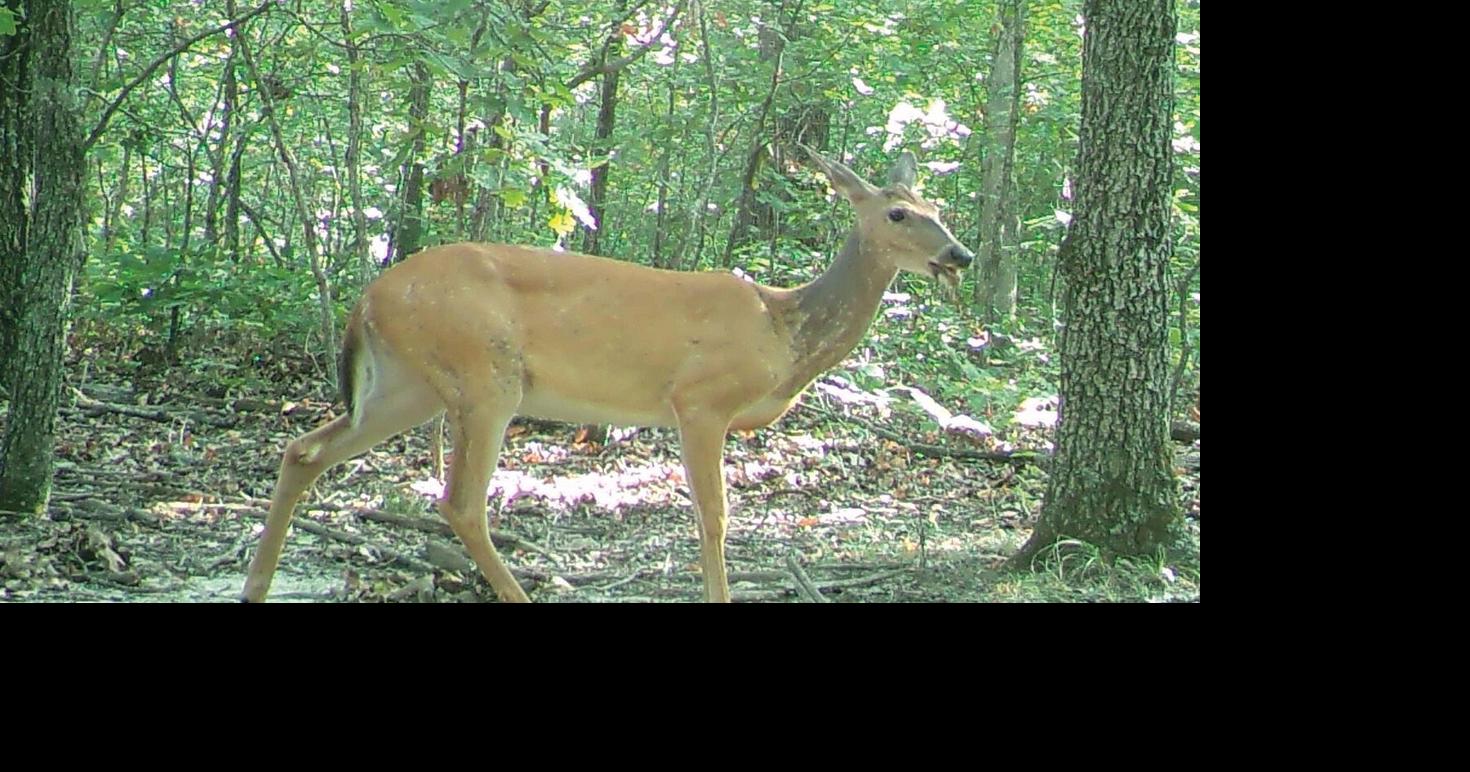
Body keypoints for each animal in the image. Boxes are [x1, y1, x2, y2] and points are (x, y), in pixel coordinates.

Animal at [241, 145, 973, 603]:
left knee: (303, 449)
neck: (782, 329)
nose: (960, 255)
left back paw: (256, 585)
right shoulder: (698, 400)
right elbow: (714, 517)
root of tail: (367, 298)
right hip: (483, 372)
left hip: (407, 383)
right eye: (898, 213)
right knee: (459, 502)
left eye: (939, 209)